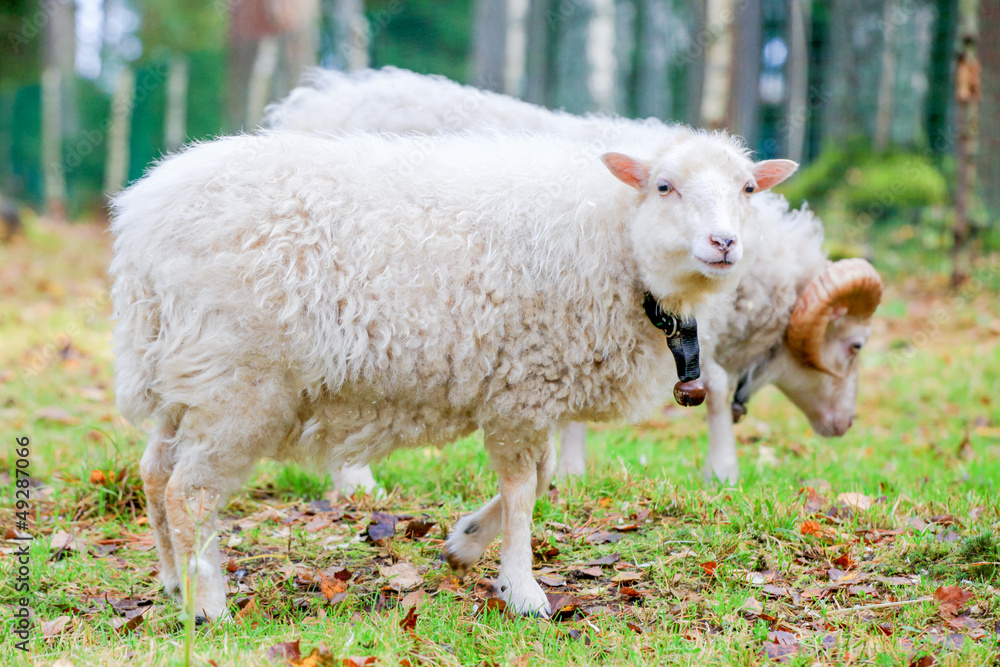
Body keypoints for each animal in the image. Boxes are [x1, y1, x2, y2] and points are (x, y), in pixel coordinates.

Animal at [111, 129, 798, 620]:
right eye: (663, 186)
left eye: (748, 189)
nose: (724, 242)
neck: (615, 239)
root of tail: (141, 228)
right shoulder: (524, 385)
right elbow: (524, 489)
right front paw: (523, 589)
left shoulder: (527, 392)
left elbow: (543, 475)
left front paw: (464, 542)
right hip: (237, 382)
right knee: (190, 491)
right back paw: (208, 605)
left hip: (184, 374)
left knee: (155, 472)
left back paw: (171, 581)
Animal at [265, 66, 878, 490]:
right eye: (854, 345)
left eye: (749, 187)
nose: (845, 424)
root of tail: (308, 104)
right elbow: (720, 385)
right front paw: (722, 472)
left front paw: (571, 471)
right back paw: (357, 483)